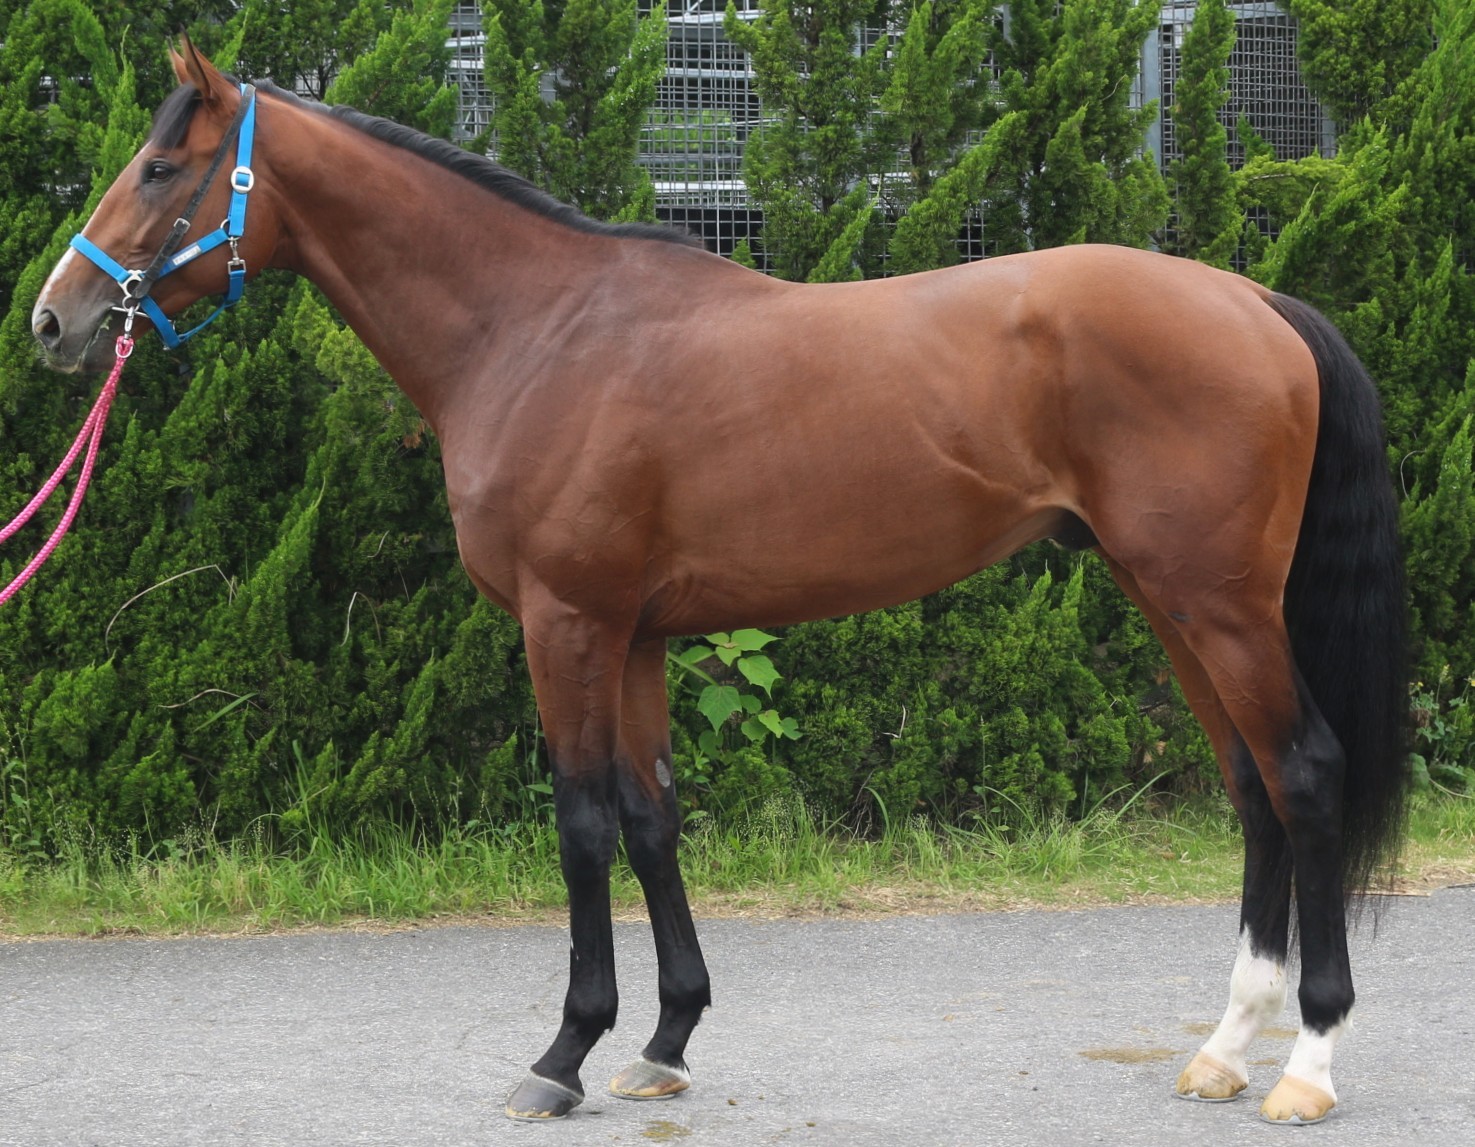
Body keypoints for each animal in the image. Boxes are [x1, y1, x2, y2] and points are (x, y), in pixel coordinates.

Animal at [30, 41, 1407, 1126]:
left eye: (160, 169)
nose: (56, 318)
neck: (538, 332)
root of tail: (1252, 299)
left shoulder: (567, 624)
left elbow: (582, 823)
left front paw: (562, 1052)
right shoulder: (636, 634)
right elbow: (651, 817)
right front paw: (664, 1040)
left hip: (1217, 604)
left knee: (1301, 775)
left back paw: (1307, 1063)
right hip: (1169, 598)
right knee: (1249, 787)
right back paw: (1222, 1050)